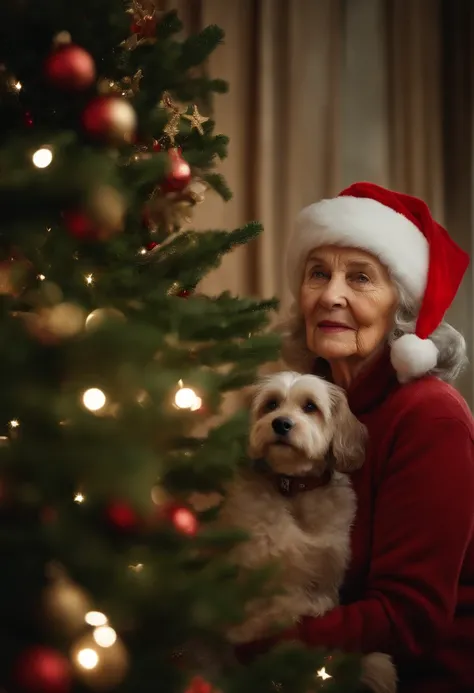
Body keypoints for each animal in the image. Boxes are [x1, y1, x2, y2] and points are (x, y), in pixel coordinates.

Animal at [220, 374, 398, 692]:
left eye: (310, 407)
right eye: (271, 404)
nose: (281, 424)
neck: (293, 489)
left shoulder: (328, 567)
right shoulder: (257, 575)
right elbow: (277, 609)